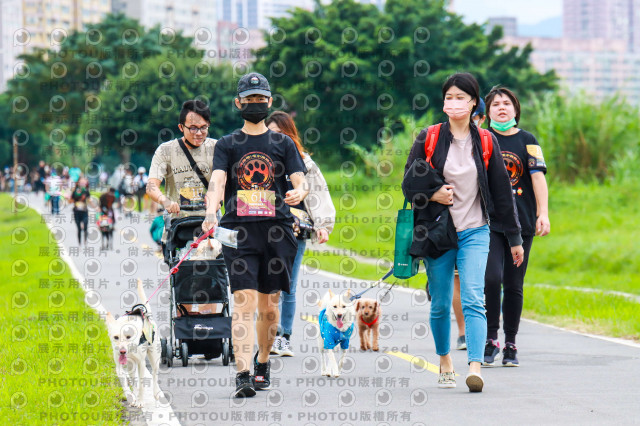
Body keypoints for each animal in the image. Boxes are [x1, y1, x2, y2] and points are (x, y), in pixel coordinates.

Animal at [106, 279, 161, 408]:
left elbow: (141, 385)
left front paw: (140, 401)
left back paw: (156, 394)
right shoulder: (119, 366)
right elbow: (125, 384)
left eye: (128, 337)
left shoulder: (141, 363)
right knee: (133, 379)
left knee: (155, 375)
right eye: (116, 337)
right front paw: (131, 397)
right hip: (131, 365)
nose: (122, 351)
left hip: (154, 357)